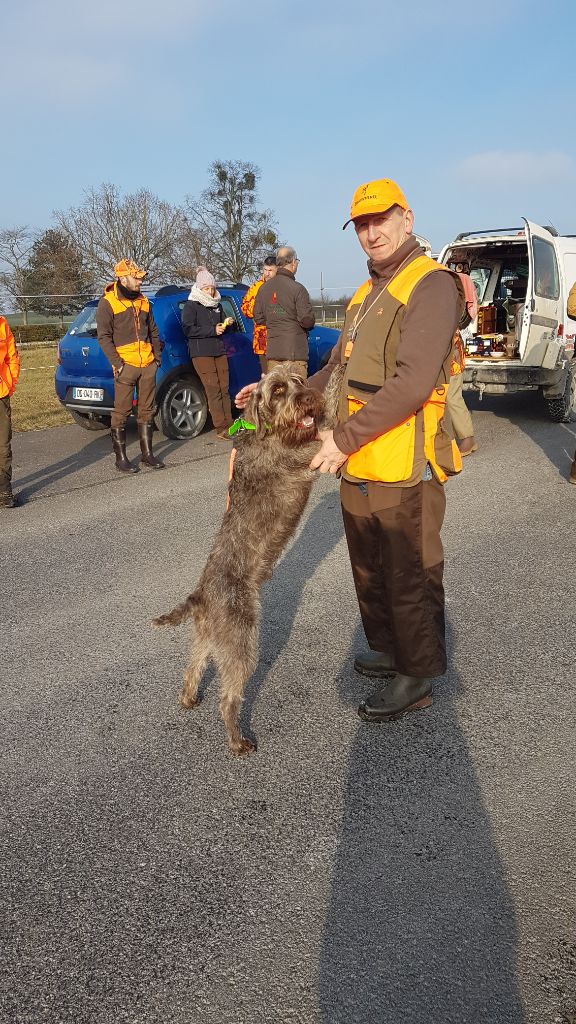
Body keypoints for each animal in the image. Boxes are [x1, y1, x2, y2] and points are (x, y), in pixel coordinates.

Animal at [152, 364, 340, 757]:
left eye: (299, 382)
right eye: (278, 390)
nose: (307, 398)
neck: (272, 433)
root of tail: (200, 595)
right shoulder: (311, 452)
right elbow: (332, 412)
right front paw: (340, 370)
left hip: (208, 639)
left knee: (192, 668)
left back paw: (189, 698)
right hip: (241, 644)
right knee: (228, 698)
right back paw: (237, 740)